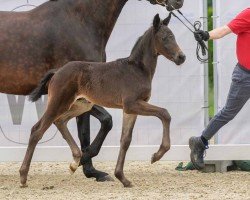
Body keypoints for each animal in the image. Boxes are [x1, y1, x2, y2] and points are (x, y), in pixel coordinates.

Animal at [23, 14, 186, 188]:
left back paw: (75, 162)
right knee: (37, 130)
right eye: (165, 38)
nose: (181, 57)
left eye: (174, 36)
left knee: (60, 121)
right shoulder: (132, 104)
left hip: (81, 105)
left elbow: (125, 140)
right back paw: (23, 176)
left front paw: (123, 178)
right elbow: (165, 113)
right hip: (59, 103)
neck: (137, 69)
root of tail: (57, 71)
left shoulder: (130, 110)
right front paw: (157, 155)